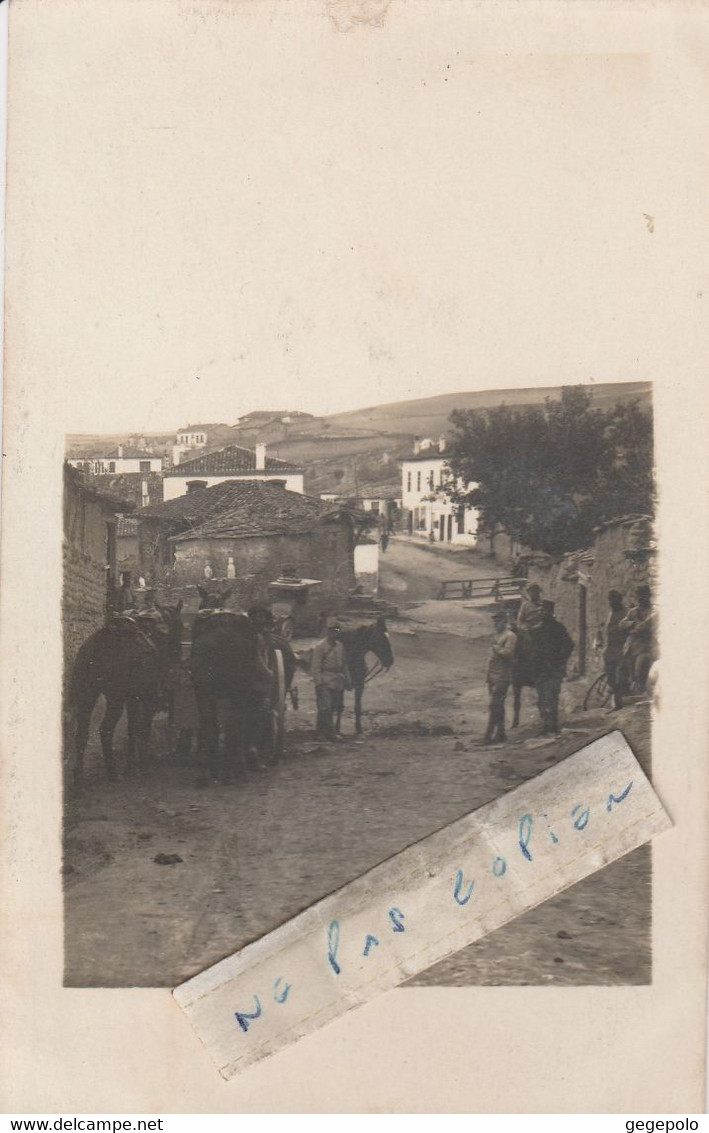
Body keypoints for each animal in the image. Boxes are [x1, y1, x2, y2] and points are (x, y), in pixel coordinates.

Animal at [69, 602, 182, 788]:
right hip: (115, 699)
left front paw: (131, 766)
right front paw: (143, 766)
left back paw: (79, 778)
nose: (176, 657)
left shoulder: (132, 698)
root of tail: (101, 642)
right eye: (180, 626)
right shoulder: (147, 697)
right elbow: (143, 729)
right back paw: (112, 772)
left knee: (82, 735)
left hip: (88, 696)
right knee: (106, 729)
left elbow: (132, 728)